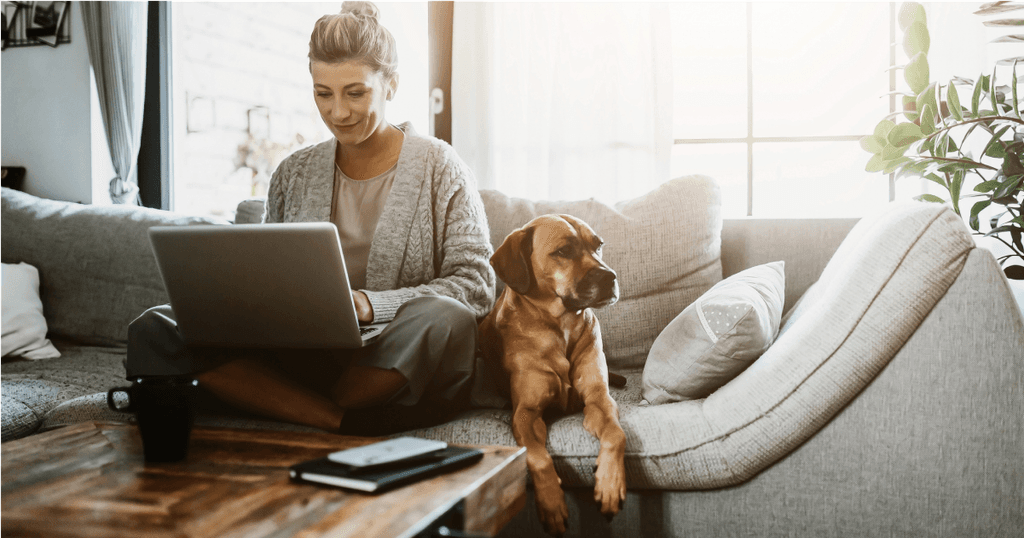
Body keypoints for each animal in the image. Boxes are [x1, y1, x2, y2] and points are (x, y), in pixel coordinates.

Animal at [477, 213, 622, 532]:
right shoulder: (526, 413)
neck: (561, 325)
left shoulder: (599, 399)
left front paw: (609, 484)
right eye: (564, 251)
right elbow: (538, 457)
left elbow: (616, 435)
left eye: (598, 245)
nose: (610, 277)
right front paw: (552, 503)